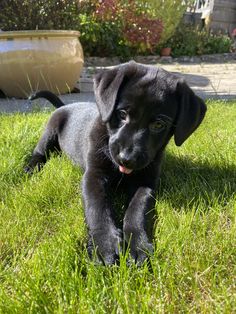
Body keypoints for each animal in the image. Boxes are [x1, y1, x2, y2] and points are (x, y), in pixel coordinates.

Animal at [26, 61, 206, 264]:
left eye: (159, 124)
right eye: (122, 114)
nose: (127, 158)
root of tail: (66, 105)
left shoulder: (145, 182)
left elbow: (137, 209)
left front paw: (138, 244)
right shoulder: (93, 175)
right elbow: (97, 207)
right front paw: (105, 244)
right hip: (49, 131)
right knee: (39, 153)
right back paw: (30, 168)